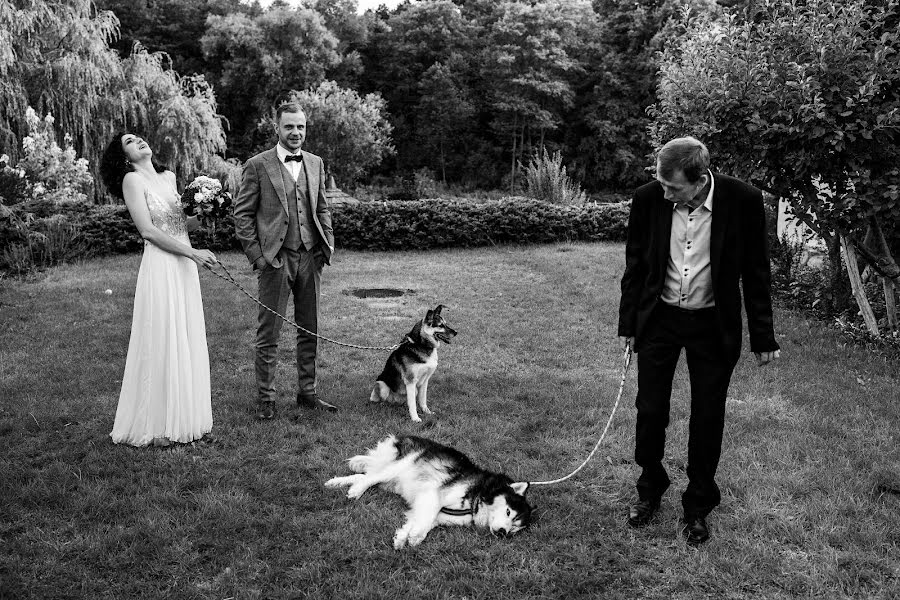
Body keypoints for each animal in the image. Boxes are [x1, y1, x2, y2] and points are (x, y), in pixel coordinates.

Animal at [326, 436, 532, 548]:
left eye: (514, 528)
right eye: (508, 512)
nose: (503, 532)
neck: (476, 498)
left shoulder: (434, 513)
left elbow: (419, 521)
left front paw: (402, 537)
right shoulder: (432, 493)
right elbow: (425, 519)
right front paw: (415, 536)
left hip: (392, 481)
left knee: (365, 475)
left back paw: (336, 483)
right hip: (401, 466)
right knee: (370, 477)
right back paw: (356, 491)